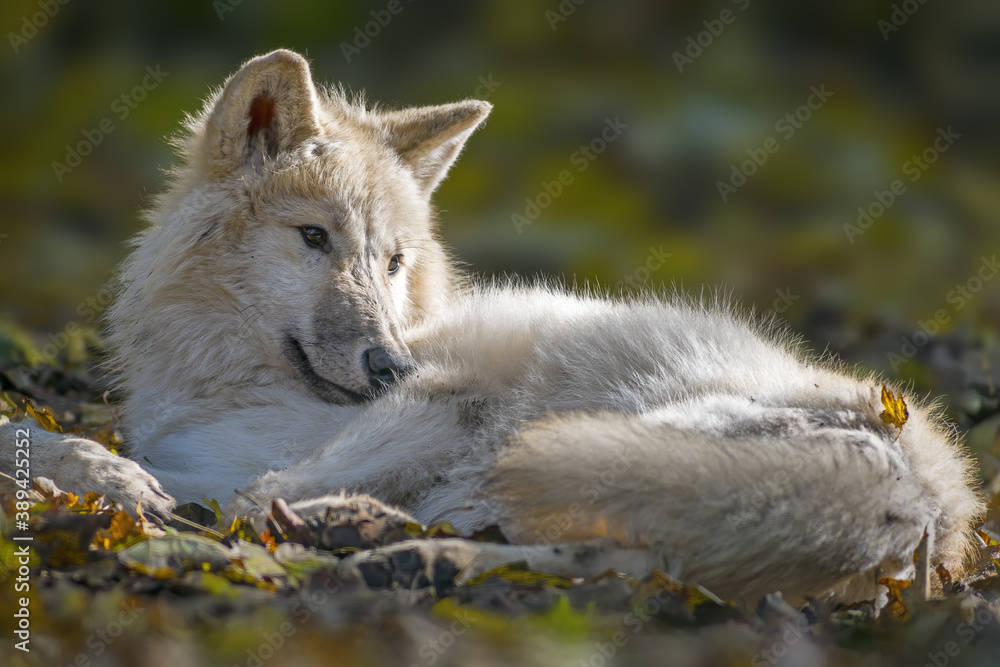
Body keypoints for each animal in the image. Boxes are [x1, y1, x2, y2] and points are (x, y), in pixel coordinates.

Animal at [0, 50, 983, 604]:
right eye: (315, 238)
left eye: (393, 260)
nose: (389, 364)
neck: (216, 379)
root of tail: (936, 481)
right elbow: (108, 454)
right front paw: (93, 474)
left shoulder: (448, 399)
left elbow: (244, 493)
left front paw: (133, 490)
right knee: (617, 561)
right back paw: (398, 554)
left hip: (586, 440)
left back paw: (367, 537)